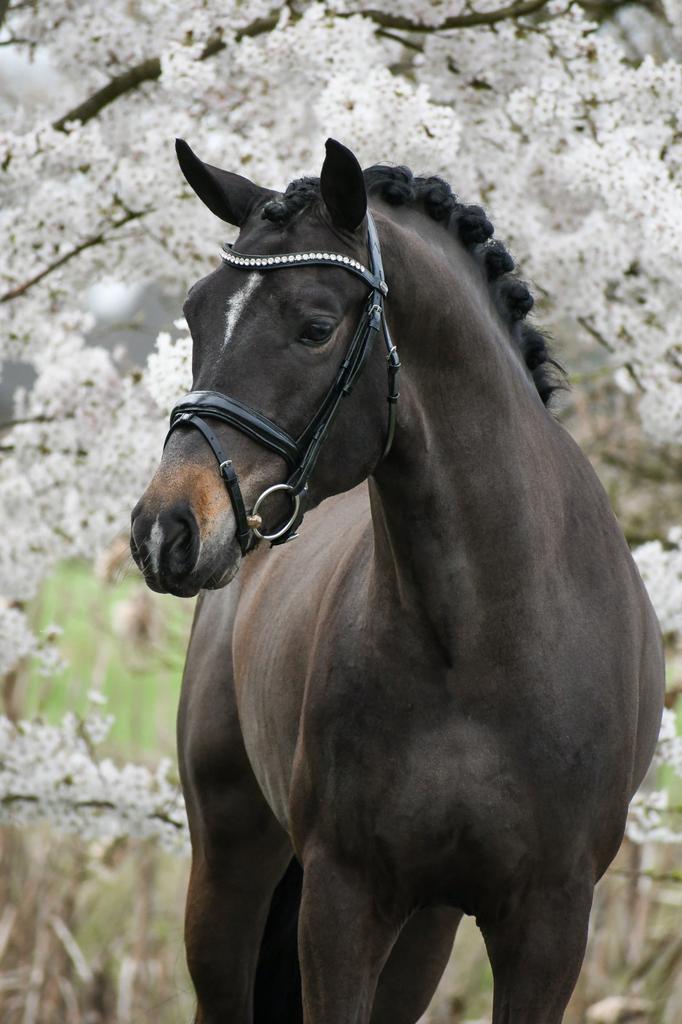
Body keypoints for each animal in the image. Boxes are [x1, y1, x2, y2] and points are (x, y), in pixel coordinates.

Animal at [130, 137, 664, 1024]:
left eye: (315, 327)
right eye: (198, 313)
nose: (166, 530)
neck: (485, 640)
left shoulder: (549, 925)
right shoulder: (343, 903)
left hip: (427, 927)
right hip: (232, 866)